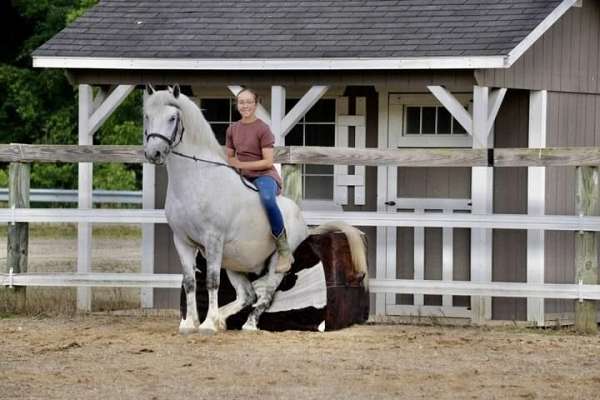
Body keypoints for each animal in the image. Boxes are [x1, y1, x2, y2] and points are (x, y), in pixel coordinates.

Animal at [145, 86, 368, 336]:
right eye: (147, 116)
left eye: (172, 118)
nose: (153, 153)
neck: (197, 180)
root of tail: (302, 221)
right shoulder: (182, 241)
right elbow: (190, 281)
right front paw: (188, 324)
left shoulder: (213, 240)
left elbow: (212, 281)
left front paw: (208, 324)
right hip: (233, 261)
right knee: (247, 295)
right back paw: (224, 319)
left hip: (275, 263)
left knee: (266, 295)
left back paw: (249, 324)